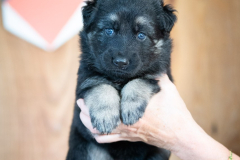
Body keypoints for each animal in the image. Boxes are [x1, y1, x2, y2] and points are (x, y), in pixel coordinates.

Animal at [67, 0, 176, 159]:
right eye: (109, 31)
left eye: (141, 35)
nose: (120, 62)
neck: (119, 78)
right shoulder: (87, 77)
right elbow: (101, 87)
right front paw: (105, 116)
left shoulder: (156, 74)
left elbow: (138, 80)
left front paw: (131, 107)